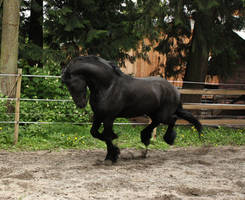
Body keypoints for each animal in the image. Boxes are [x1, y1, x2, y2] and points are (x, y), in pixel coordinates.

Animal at [61, 54, 203, 162]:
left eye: (71, 84)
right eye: (66, 85)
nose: (81, 104)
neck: (108, 86)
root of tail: (174, 89)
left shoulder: (109, 117)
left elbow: (106, 136)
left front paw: (114, 154)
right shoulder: (98, 115)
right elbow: (95, 133)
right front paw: (111, 153)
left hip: (163, 114)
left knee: (172, 119)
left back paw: (168, 139)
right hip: (152, 112)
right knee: (156, 122)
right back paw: (145, 138)